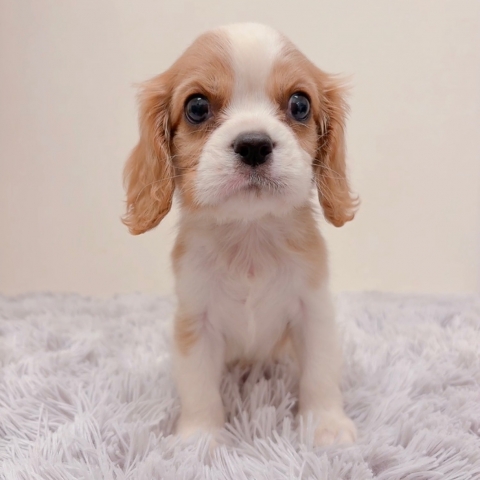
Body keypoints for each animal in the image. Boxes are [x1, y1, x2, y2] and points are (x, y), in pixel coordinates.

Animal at [122, 23, 358, 446]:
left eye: (300, 104)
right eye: (197, 107)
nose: (254, 144)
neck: (250, 234)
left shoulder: (313, 312)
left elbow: (320, 373)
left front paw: (326, 424)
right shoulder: (195, 322)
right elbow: (198, 386)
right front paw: (199, 438)